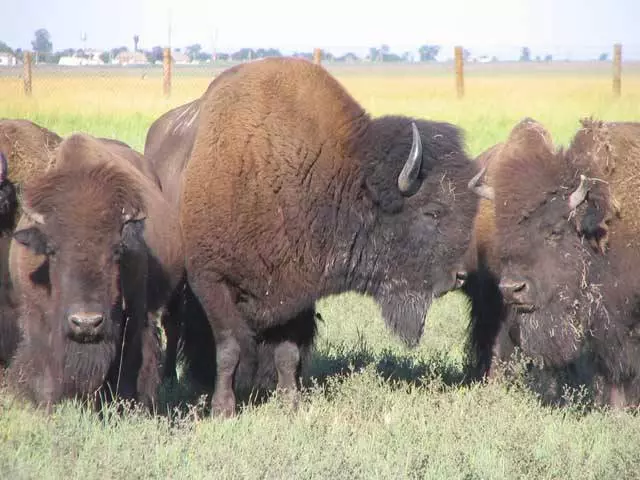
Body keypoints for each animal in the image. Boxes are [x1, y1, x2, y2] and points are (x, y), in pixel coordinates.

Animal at [6, 132, 184, 408]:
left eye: (117, 250)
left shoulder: (136, 312)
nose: (87, 322)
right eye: (52, 250)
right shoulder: (37, 316)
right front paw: (48, 406)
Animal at [178, 57, 478, 416]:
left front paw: (290, 404)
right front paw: (222, 410)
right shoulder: (211, 282)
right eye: (432, 212)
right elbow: (229, 349)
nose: (460, 276)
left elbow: (287, 353)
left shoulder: (295, 294)